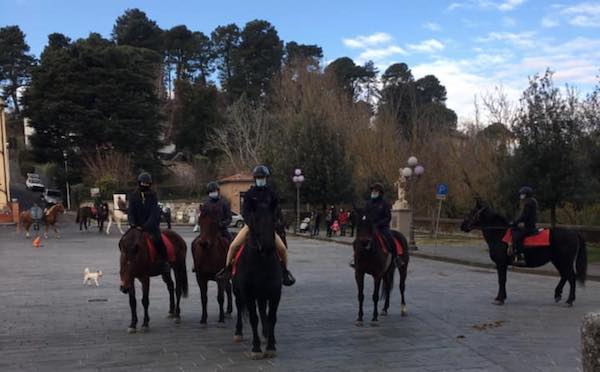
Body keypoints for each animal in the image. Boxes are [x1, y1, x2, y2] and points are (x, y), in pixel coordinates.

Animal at [233, 208, 282, 358]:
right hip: (237, 291)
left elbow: (271, 317)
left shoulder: (274, 293)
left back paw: (266, 333)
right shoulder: (248, 293)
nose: (268, 246)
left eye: (275, 220)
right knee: (239, 306)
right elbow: (253, 318)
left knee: (261, 310)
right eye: (254, 220)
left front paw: (271, 346)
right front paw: (256, 348)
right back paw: (238, 333)